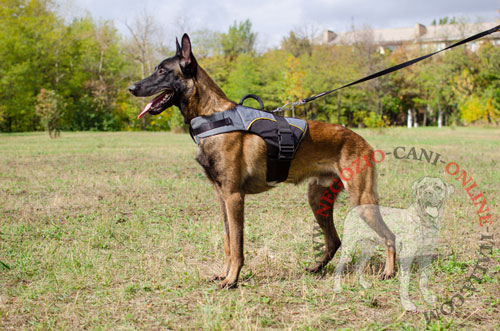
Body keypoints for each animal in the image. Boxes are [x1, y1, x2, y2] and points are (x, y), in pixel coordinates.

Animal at [129, 33, 394, 288]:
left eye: (162, 71)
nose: (131, 87)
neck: (213, 116)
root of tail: (363, 141)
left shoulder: (234, 197)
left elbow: (237, 244)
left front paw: (232, 280)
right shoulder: (222, 198)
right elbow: (228, 241)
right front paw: (224, 273)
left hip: (362, 201)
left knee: (389, 236)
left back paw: (388, 272)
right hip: (317, 200)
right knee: (334, 240)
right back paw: (317, 269)